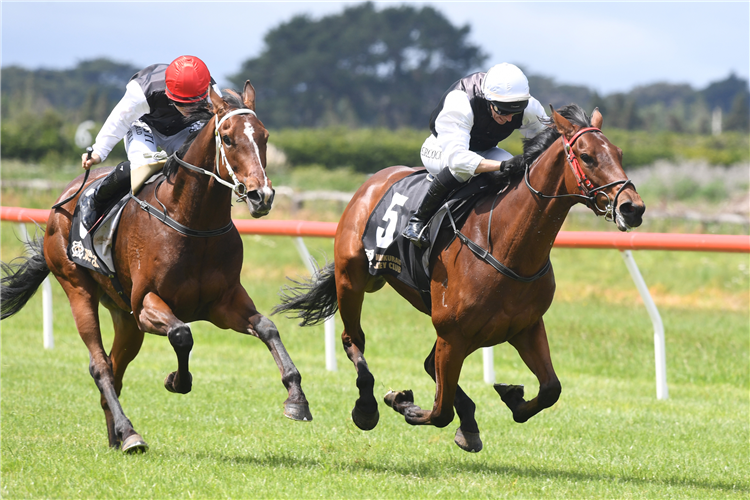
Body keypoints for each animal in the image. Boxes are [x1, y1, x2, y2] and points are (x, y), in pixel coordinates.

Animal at [0, 83, 312, 454]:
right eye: (228, 137)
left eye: (264, 136)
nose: (261, 195)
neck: (194, 222)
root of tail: (65, 197)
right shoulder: (147, 302)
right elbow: (182, 334)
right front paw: (177, 379)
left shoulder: (222, 304)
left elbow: (267, 328)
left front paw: (296, 398)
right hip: (77, 287)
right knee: (100, 365)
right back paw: (130, 434)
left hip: (125, 318)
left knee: (116, 369)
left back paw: (117, 436)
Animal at [276, 105, 648, 454]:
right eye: (586, 156)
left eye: (619, 153)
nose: (632, 208)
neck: (506, 246)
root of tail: (373, 181)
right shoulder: (453, 335)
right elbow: (439, 411)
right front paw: (405, 403)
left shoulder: (524, 327)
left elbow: (550, 389)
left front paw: (509, 397)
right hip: (353, 280)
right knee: (353, 339)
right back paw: (366, 407)